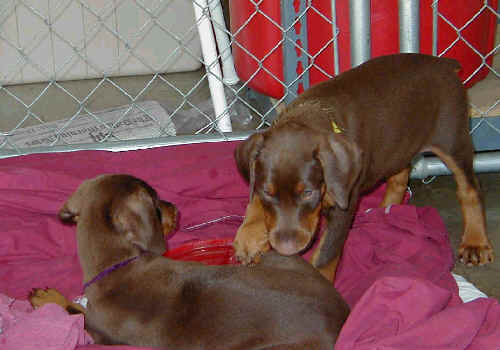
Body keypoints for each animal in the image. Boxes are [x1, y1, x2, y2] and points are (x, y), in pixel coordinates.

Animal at [29, 175, 350, 350]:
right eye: (156, 203)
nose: (176, 209)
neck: (119, 267)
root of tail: (343, 315)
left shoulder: (100, 333)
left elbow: (75, 313)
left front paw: (47, 297)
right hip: (282, 261)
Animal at [232, 53, 494, 280]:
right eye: (267, 192)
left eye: (308, 193)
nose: (287, 248)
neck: (313, 112)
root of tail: (444, 63)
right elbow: (254, 200)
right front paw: (249, 236)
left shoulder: (344, 206)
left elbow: (326, 254)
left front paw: (317, 282)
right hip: (398, 141)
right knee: (399, 176)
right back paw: (383, 212)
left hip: (452, 138)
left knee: (470, 188)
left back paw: (475, 242)